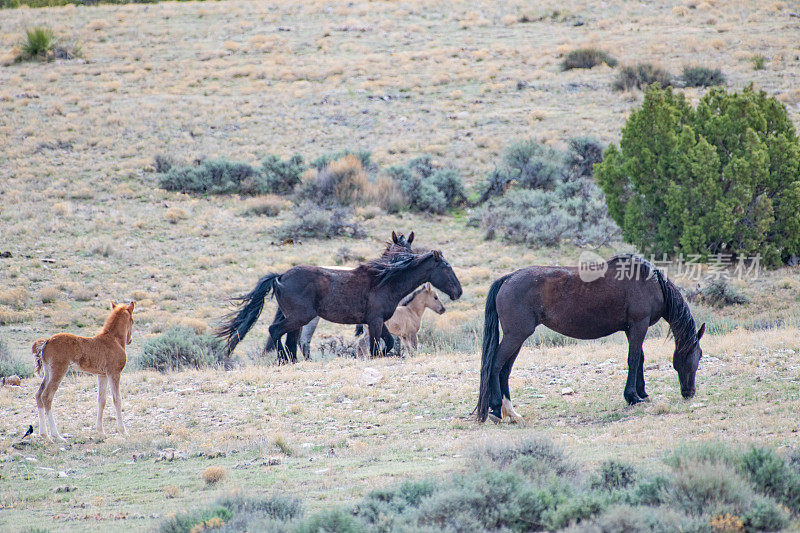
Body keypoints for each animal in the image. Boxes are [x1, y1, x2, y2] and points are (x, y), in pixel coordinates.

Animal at [32, 302, 134, 438]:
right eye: (132, 321)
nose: (130, 340)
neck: (114, 340)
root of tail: (47, 341)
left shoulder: (102, 375)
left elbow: (101, 400)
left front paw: (100, 431)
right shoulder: (114, 373)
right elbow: (117, 399)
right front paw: (123, 431)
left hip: (48, 372)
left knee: (38, 395)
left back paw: (44, 435)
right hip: (59, 371)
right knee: (46, 396)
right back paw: (57, 436)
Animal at [219, 249, 462, 362]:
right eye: (447, 267)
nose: (458, 292)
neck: (385, 282)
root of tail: (280, 277)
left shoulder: (378, 321)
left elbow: (388, 343)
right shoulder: (375, 321)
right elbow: (376, 347)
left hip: (295, 319)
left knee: (290, 340)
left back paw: (291, 361)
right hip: (299, 317)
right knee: (275, 331)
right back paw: (282, 360)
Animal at [476, 256, 708, 422]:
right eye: (698, 356)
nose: (689, 392)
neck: (650, 283)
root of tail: (508, 278)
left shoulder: (631, 329)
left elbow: (640, 359)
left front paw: (642, 393)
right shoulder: (638, 325)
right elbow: (633, 360)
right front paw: (633, 397)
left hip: (517, 337)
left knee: (505, 371)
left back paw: (510, 412)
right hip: (516, 336)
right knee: (495, 366)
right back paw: (495, 409)